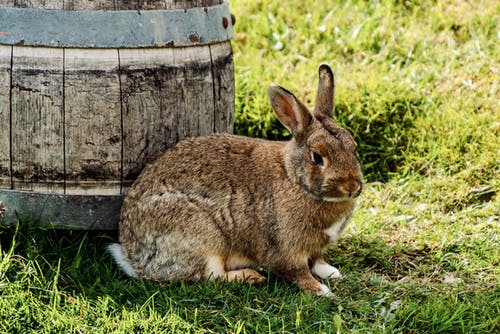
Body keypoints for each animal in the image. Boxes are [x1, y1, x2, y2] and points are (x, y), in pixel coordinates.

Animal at [107, 63, 362, 298]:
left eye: (354, 147)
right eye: (317, 157)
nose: (352, 186)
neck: (295, 178)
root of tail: (133, 256)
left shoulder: (316, 248)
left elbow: (318, 261)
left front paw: (332, 273)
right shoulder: (288, 248)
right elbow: (299, 272)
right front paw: (323, 291)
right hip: (202, 236)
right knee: (210, 276)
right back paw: (251, 276)